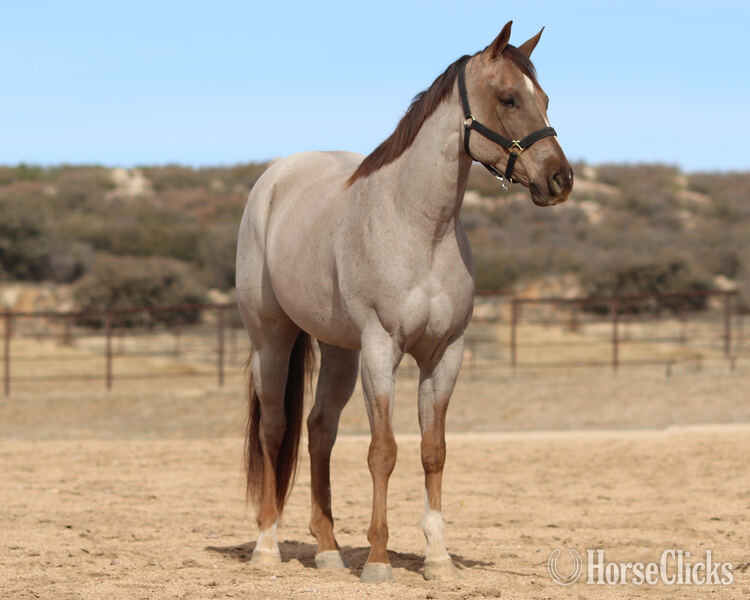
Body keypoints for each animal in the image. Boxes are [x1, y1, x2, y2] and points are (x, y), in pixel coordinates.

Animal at [235, 20, 573, 583]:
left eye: (544, 99)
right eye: (509, 98)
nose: (560, 180)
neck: (419, 228)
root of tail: (274, 181)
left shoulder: (445, 354)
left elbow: (432, 451)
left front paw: (438, 558)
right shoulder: (381, 351)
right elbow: (383, 452)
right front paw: (378, 559)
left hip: (339, 350)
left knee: (319, 429)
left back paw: (328, 549)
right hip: (272, 338)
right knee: (275, 429)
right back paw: (266, 545)